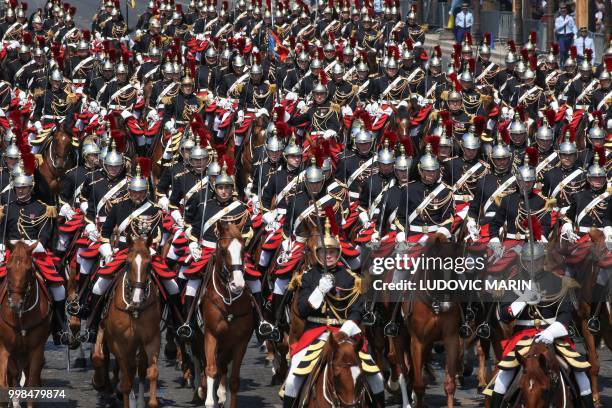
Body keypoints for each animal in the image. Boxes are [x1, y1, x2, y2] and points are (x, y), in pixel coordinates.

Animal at [0, 242, 51, 408]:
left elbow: (32, 385)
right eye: (8, 267)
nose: (15, 304)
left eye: (29, 270)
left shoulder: (36, 350)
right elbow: (3, 383)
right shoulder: (4, 348)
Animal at [91, 234, 163, 406]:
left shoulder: (151, 340)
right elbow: (125, 382)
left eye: (149, 264)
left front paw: (151, 402)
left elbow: (151, 372)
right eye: (128, 263)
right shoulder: (119, 344)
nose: (137, 299)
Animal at [200, 223, 255, 408]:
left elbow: (234, 381)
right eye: (223, 250)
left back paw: (221, 393)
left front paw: (223, 394)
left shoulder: (241, 342)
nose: (237, 284)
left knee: (223, 365)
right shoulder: (211, 335)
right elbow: (211, 369)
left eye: (243, 249)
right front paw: (209, 399)